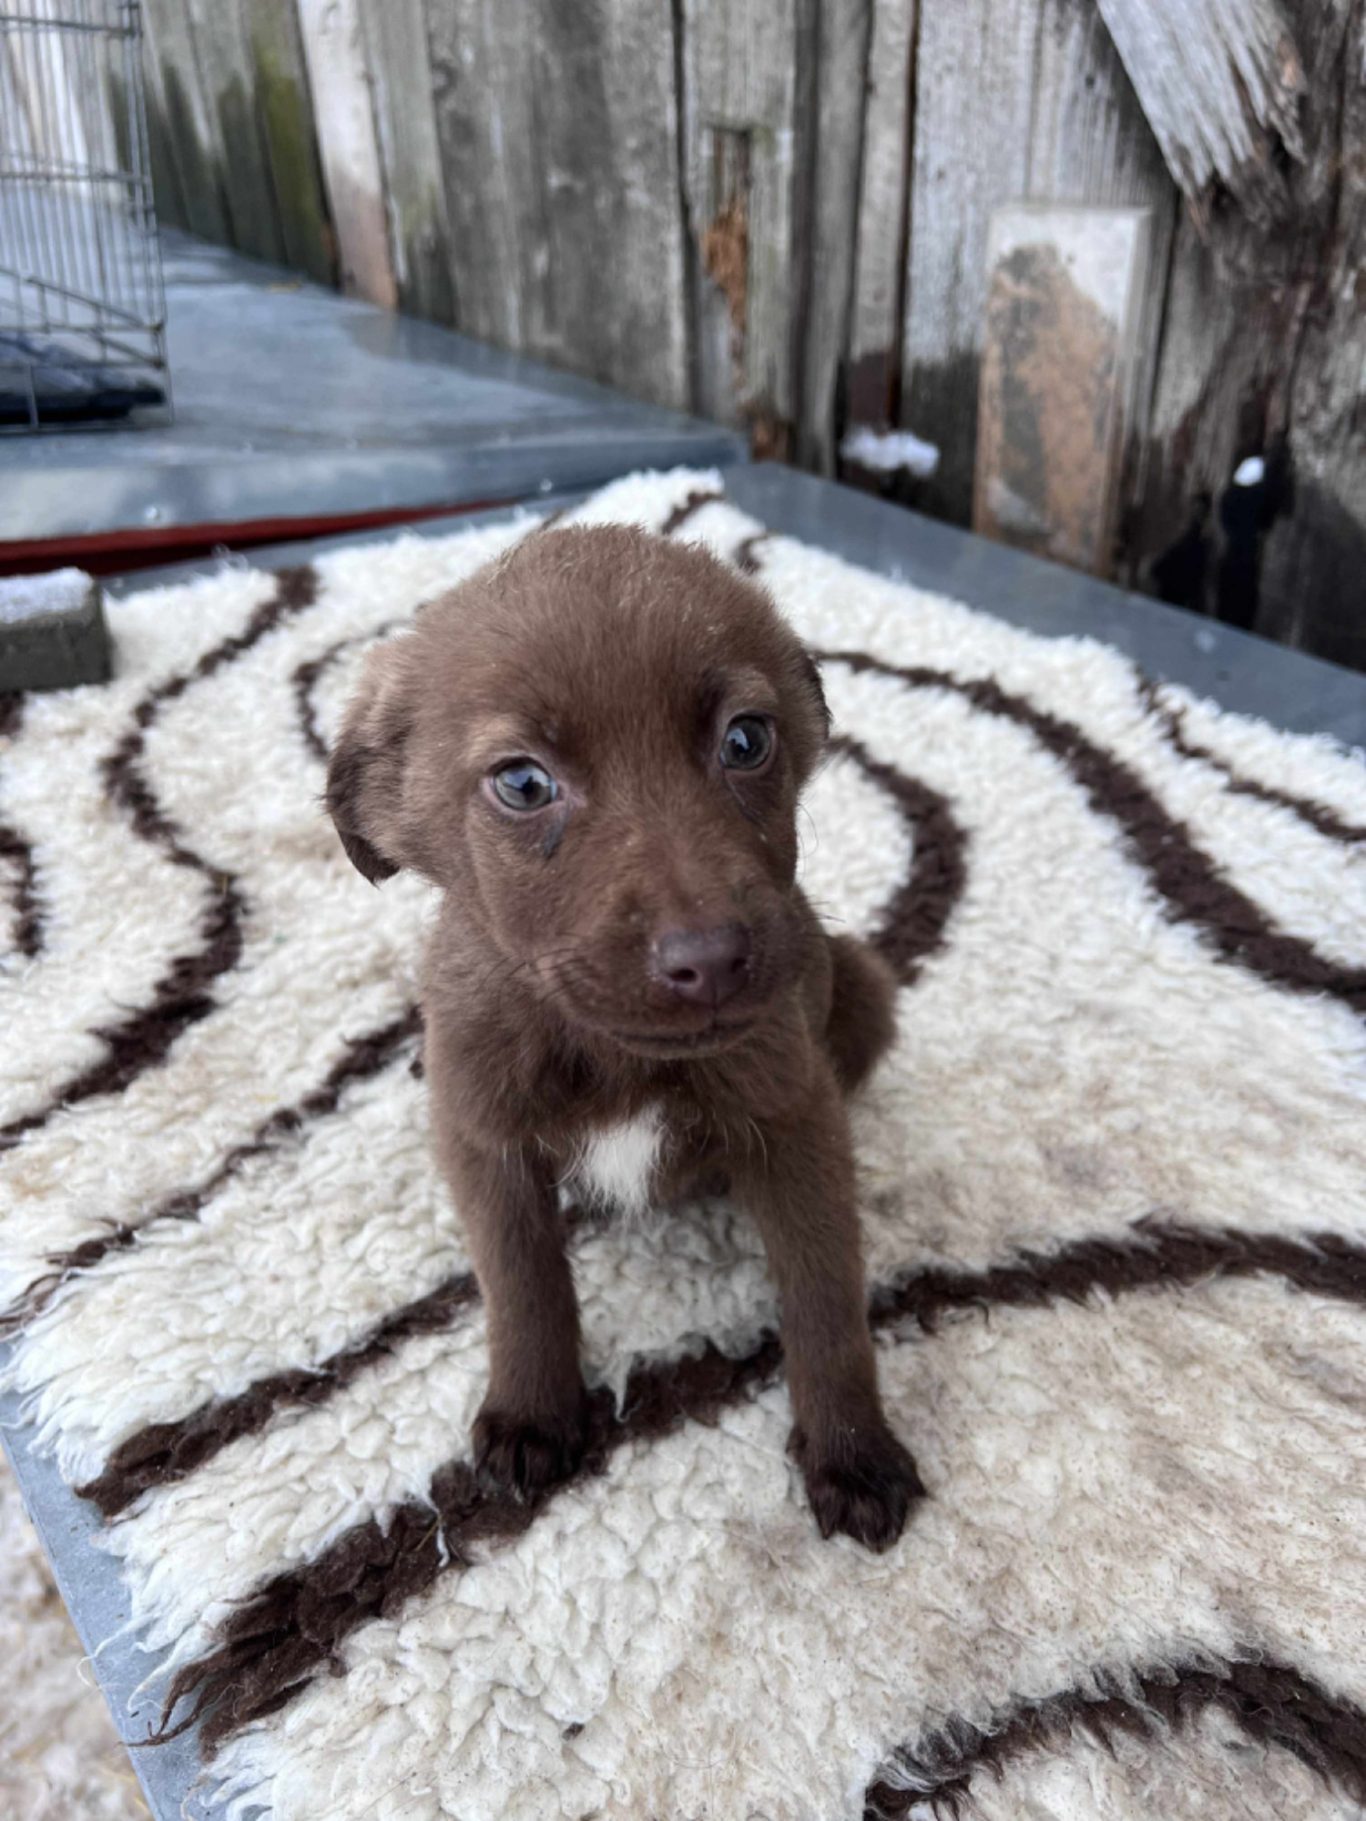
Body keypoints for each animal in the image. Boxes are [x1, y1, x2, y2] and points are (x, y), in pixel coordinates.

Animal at [326, 524, 923, 1550]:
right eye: (523, 782)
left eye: (746, 739)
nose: (711, 960)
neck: (618, 1054)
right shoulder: (484, 1137)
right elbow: (523, 1282)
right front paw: (533, 1411)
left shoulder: (797, 1122)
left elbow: (824, 1299)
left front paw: (852, 1451)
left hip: (863, 987)